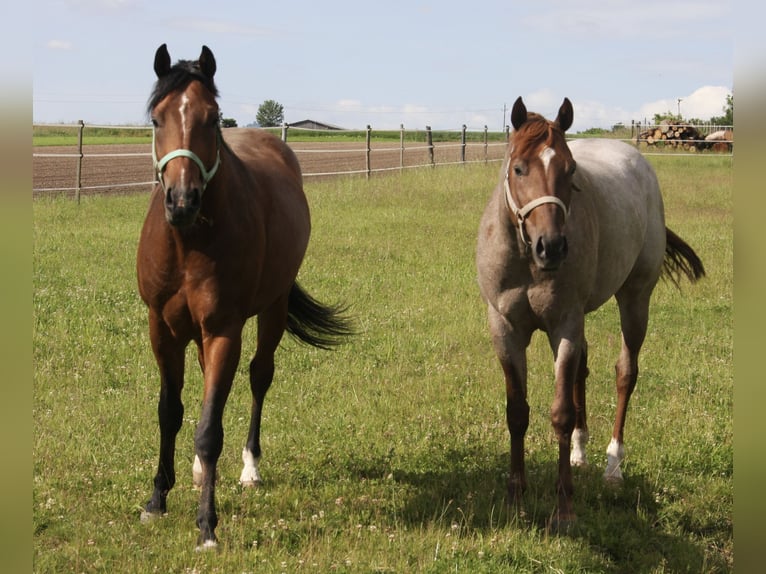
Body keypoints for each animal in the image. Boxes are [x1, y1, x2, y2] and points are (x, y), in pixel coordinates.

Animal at [136, 44, 352, 549]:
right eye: (156, 118)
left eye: (212, 117)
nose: (182, 201)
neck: (188, 243)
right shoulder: (162, 330)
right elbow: (170, 413)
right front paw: (156, 501)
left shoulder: (223, 330)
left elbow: (209, 430)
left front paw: (207, 526)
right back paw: (199, 472)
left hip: (271, 310)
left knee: (258, 377)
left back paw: (250, 467)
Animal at [476, 97, 705, 528]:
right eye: (519, 168)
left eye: (570, 171)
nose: (551, 246)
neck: (526, 261)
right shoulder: (505, 328)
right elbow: (518, 411)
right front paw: (515, 500)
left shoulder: (564, 324)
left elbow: (561, 413)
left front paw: (564, 509)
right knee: (582, 370)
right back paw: (581, 453)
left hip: (635, 300)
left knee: (625, 373)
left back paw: (613, 465)